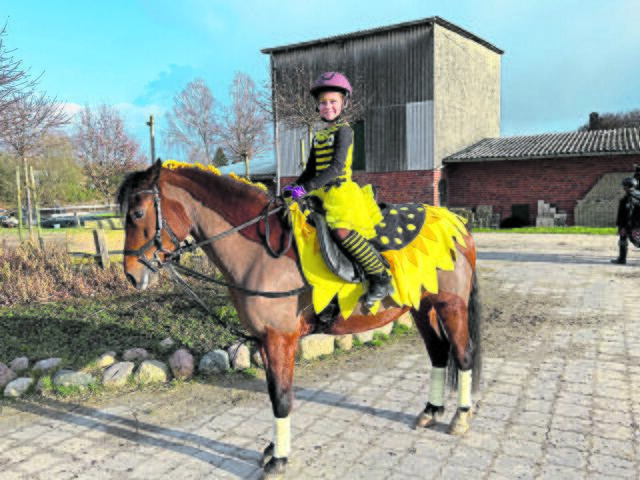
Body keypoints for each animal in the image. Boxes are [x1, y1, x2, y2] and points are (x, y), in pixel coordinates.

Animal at [118, 160, 482, 478]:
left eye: (137, 213)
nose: (132, 276)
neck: (262, 254)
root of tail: (455, 222)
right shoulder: (264, 342)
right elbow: (273, 393)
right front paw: (271, 449)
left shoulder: (280, 339)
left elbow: (282, 398)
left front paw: (279, 460)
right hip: (422, 307)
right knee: (438, 353)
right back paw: (430, 411)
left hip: (451, 306)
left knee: (463, 355)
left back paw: (460, 418)